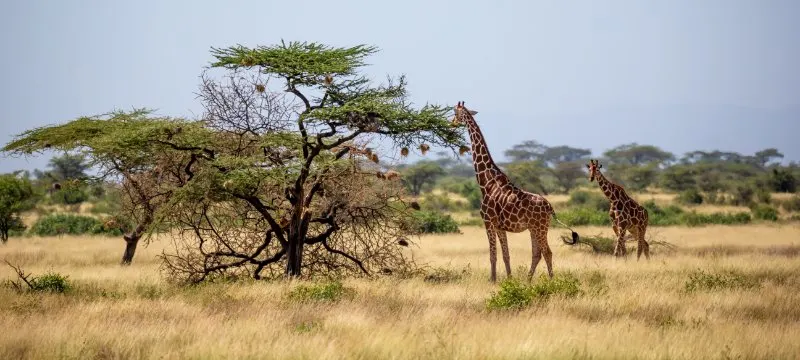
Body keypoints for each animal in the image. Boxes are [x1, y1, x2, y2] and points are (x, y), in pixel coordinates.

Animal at [450, 100, 576, 282]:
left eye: (455, 112)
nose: (451, 123)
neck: (486, 182)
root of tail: (549, 207)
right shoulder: (500, 226)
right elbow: (506, 255)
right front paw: (509, 279)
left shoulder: (488, 221)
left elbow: (493, 255)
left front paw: (493, 280)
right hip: (534, 228)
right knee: (537, 253)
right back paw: (528, 280)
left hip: (539, 227)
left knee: (547, 252)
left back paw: (551, 281)